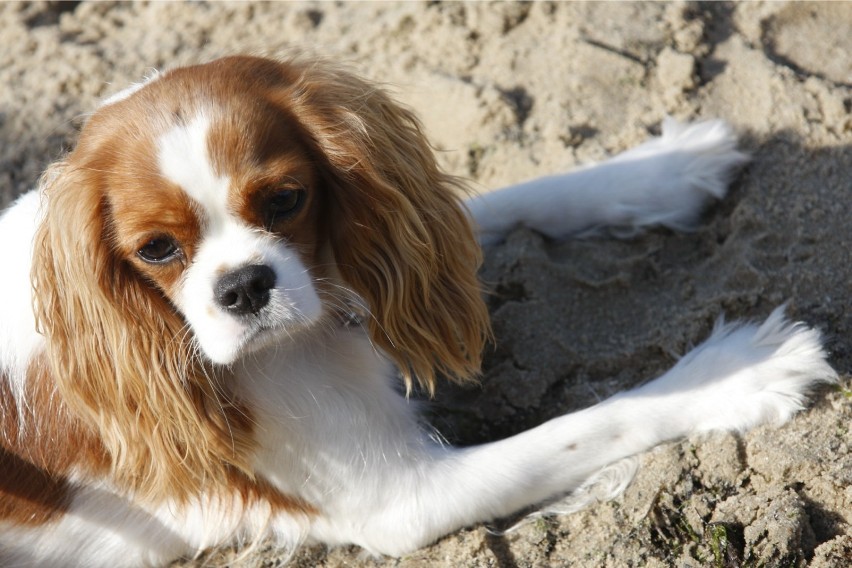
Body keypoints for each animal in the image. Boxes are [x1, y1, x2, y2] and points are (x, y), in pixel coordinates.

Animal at [0, 54, 836, 568]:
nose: (243, 286)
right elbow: (597, 423)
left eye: (285, 200)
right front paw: (740, 372)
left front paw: (660, 170)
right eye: (156, 249)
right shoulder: (407, 502)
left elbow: (504, 203)